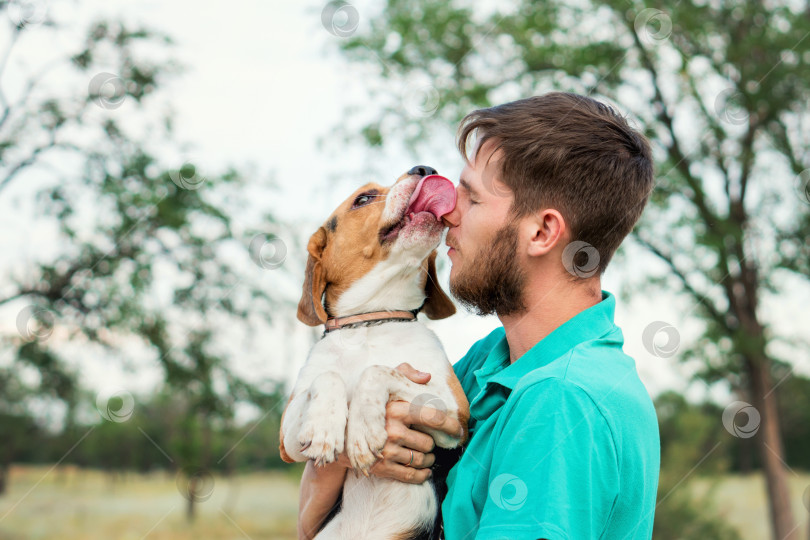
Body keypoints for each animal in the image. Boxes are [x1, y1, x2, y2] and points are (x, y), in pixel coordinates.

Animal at [278, 167, 468, 536]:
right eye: (363, 198)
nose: (425, 169)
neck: (372, 321)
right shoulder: (287, 440)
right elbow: (328, 376)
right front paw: (324, 428)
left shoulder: (457, 415)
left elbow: (377, 370)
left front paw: (364, 429)